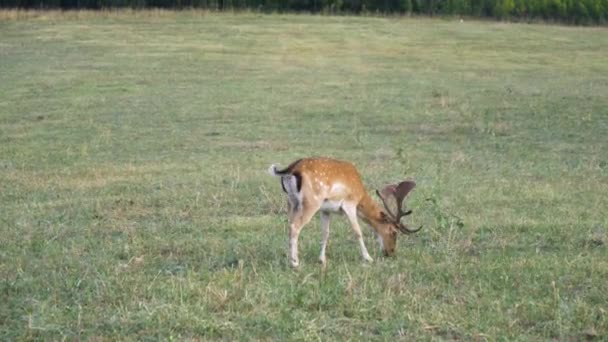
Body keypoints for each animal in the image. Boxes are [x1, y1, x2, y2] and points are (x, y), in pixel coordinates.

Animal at [268, 157, 420, 268]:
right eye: (394, 232)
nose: (391, 253)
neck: (360, 193)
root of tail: (291, 169)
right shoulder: (350, 204)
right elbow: (357, 231)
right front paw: (368, 258)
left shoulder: (325, 210)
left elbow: (325, 233)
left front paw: (322, 260)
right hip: (310, 202)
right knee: (295, 226)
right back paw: (295, 262)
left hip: (292, 202)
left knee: (290, 224)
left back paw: (289, 259)